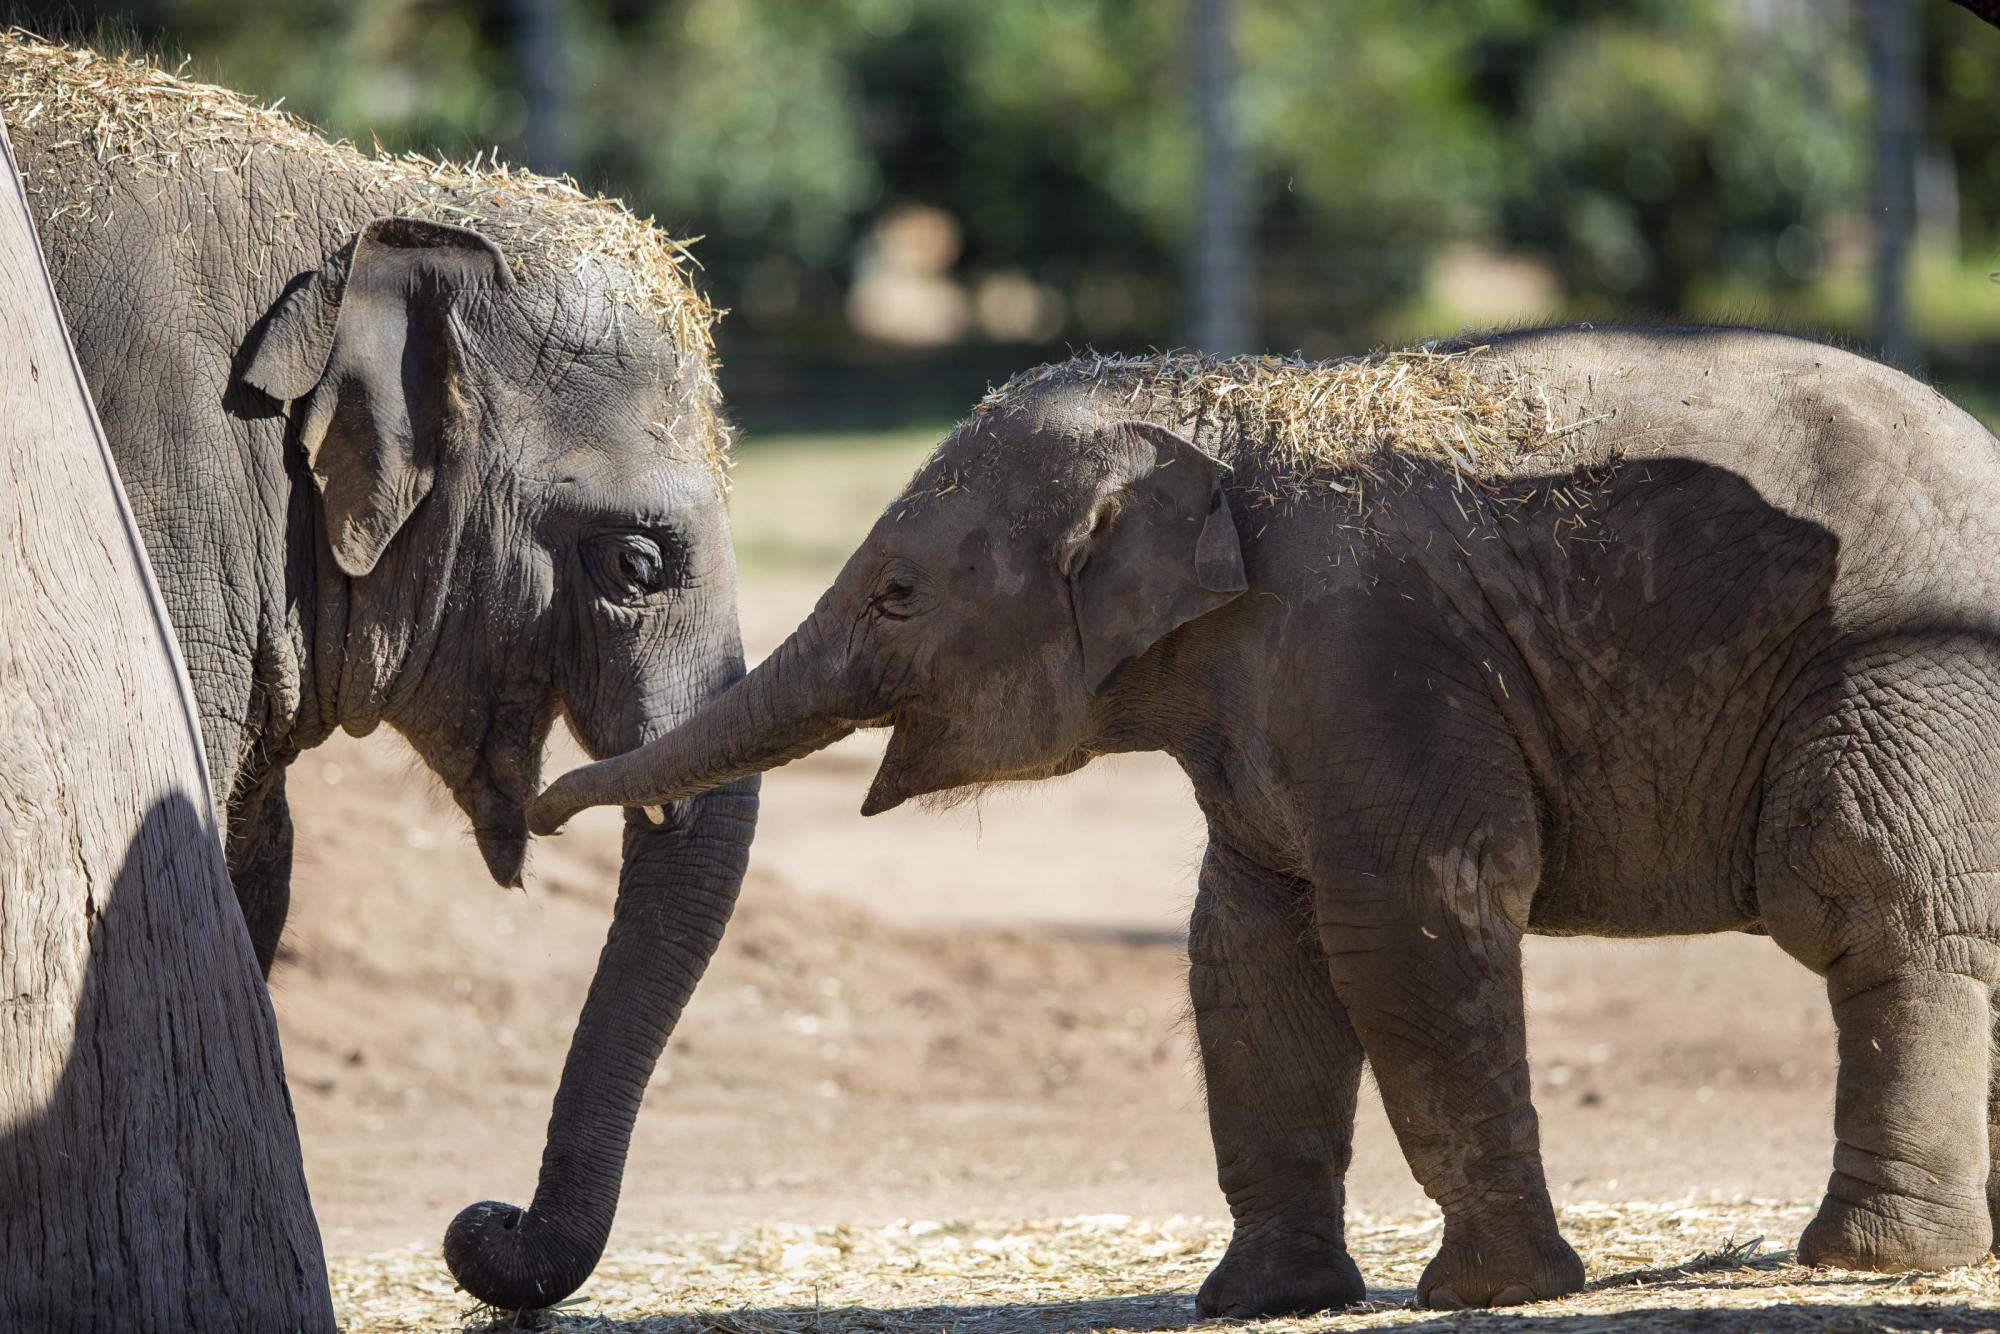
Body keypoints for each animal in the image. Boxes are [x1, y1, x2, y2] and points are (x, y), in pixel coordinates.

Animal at [528, 328, 2000, 1320]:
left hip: (1909, 671)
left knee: (1866, 898)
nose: (543, 809)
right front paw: (1260, 1300)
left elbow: (1414, 915)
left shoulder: (1361, 656)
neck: (1212, 409)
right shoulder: (1271, 701)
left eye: (896, 592)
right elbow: (1247, 954)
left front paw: (1493, 1292)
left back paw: (1875, 1257)